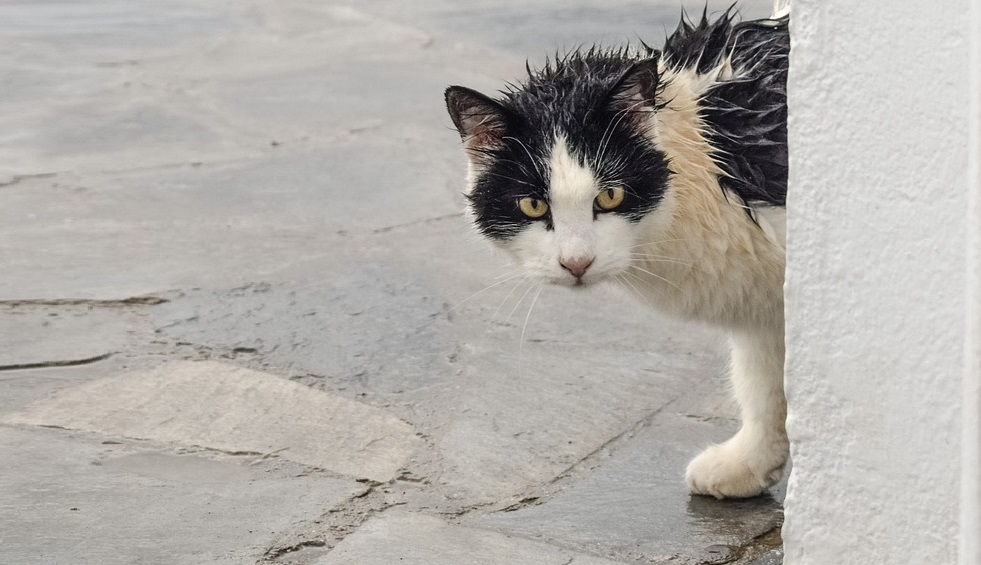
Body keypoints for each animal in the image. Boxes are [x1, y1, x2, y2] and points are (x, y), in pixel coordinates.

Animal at [444, 5, 788, 498]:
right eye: (533, 205)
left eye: (610, 197)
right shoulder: (764, 307)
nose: (576, 263)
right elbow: (764, 387)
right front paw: (750, 463)